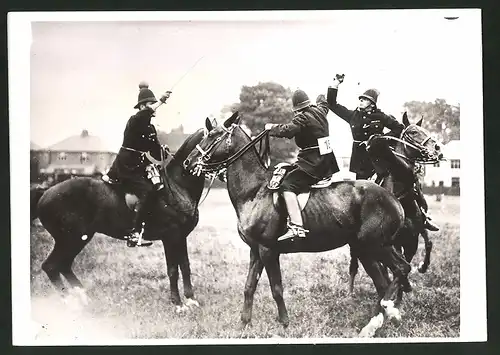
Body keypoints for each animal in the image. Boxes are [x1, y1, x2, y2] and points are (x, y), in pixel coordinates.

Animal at [31, 127, 208, 312]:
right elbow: (173, 270)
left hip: (78, 239)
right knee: (51, 266)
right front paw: (178, 303)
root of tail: (45, 192)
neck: (176, 187)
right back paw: (71, 302)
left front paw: (191, 299)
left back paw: (84, 298)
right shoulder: (170, 237)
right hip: (70, 239)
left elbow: (185, 266)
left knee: (63, 265)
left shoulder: (181, 237)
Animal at [182, 112, 416, 338]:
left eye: (213, 135)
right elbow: (249, 287)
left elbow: (276, 288)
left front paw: (284, 323)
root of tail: (390, 196)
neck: (255, 191)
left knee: (401, 269)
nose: (188, 163)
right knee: (384, 282)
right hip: (367, 250)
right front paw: (244, 324)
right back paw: (377, 322)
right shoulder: (255, 251)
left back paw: (387, 312)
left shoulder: (268, 250)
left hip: (376, 246)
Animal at [346, 114, 444, 294]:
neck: (402, 198)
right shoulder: (393, 242)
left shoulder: (412, 239)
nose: (437, 148)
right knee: (358, 262)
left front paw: (409, 280)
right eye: (413, 132)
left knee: (426, 242)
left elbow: (409, 257)